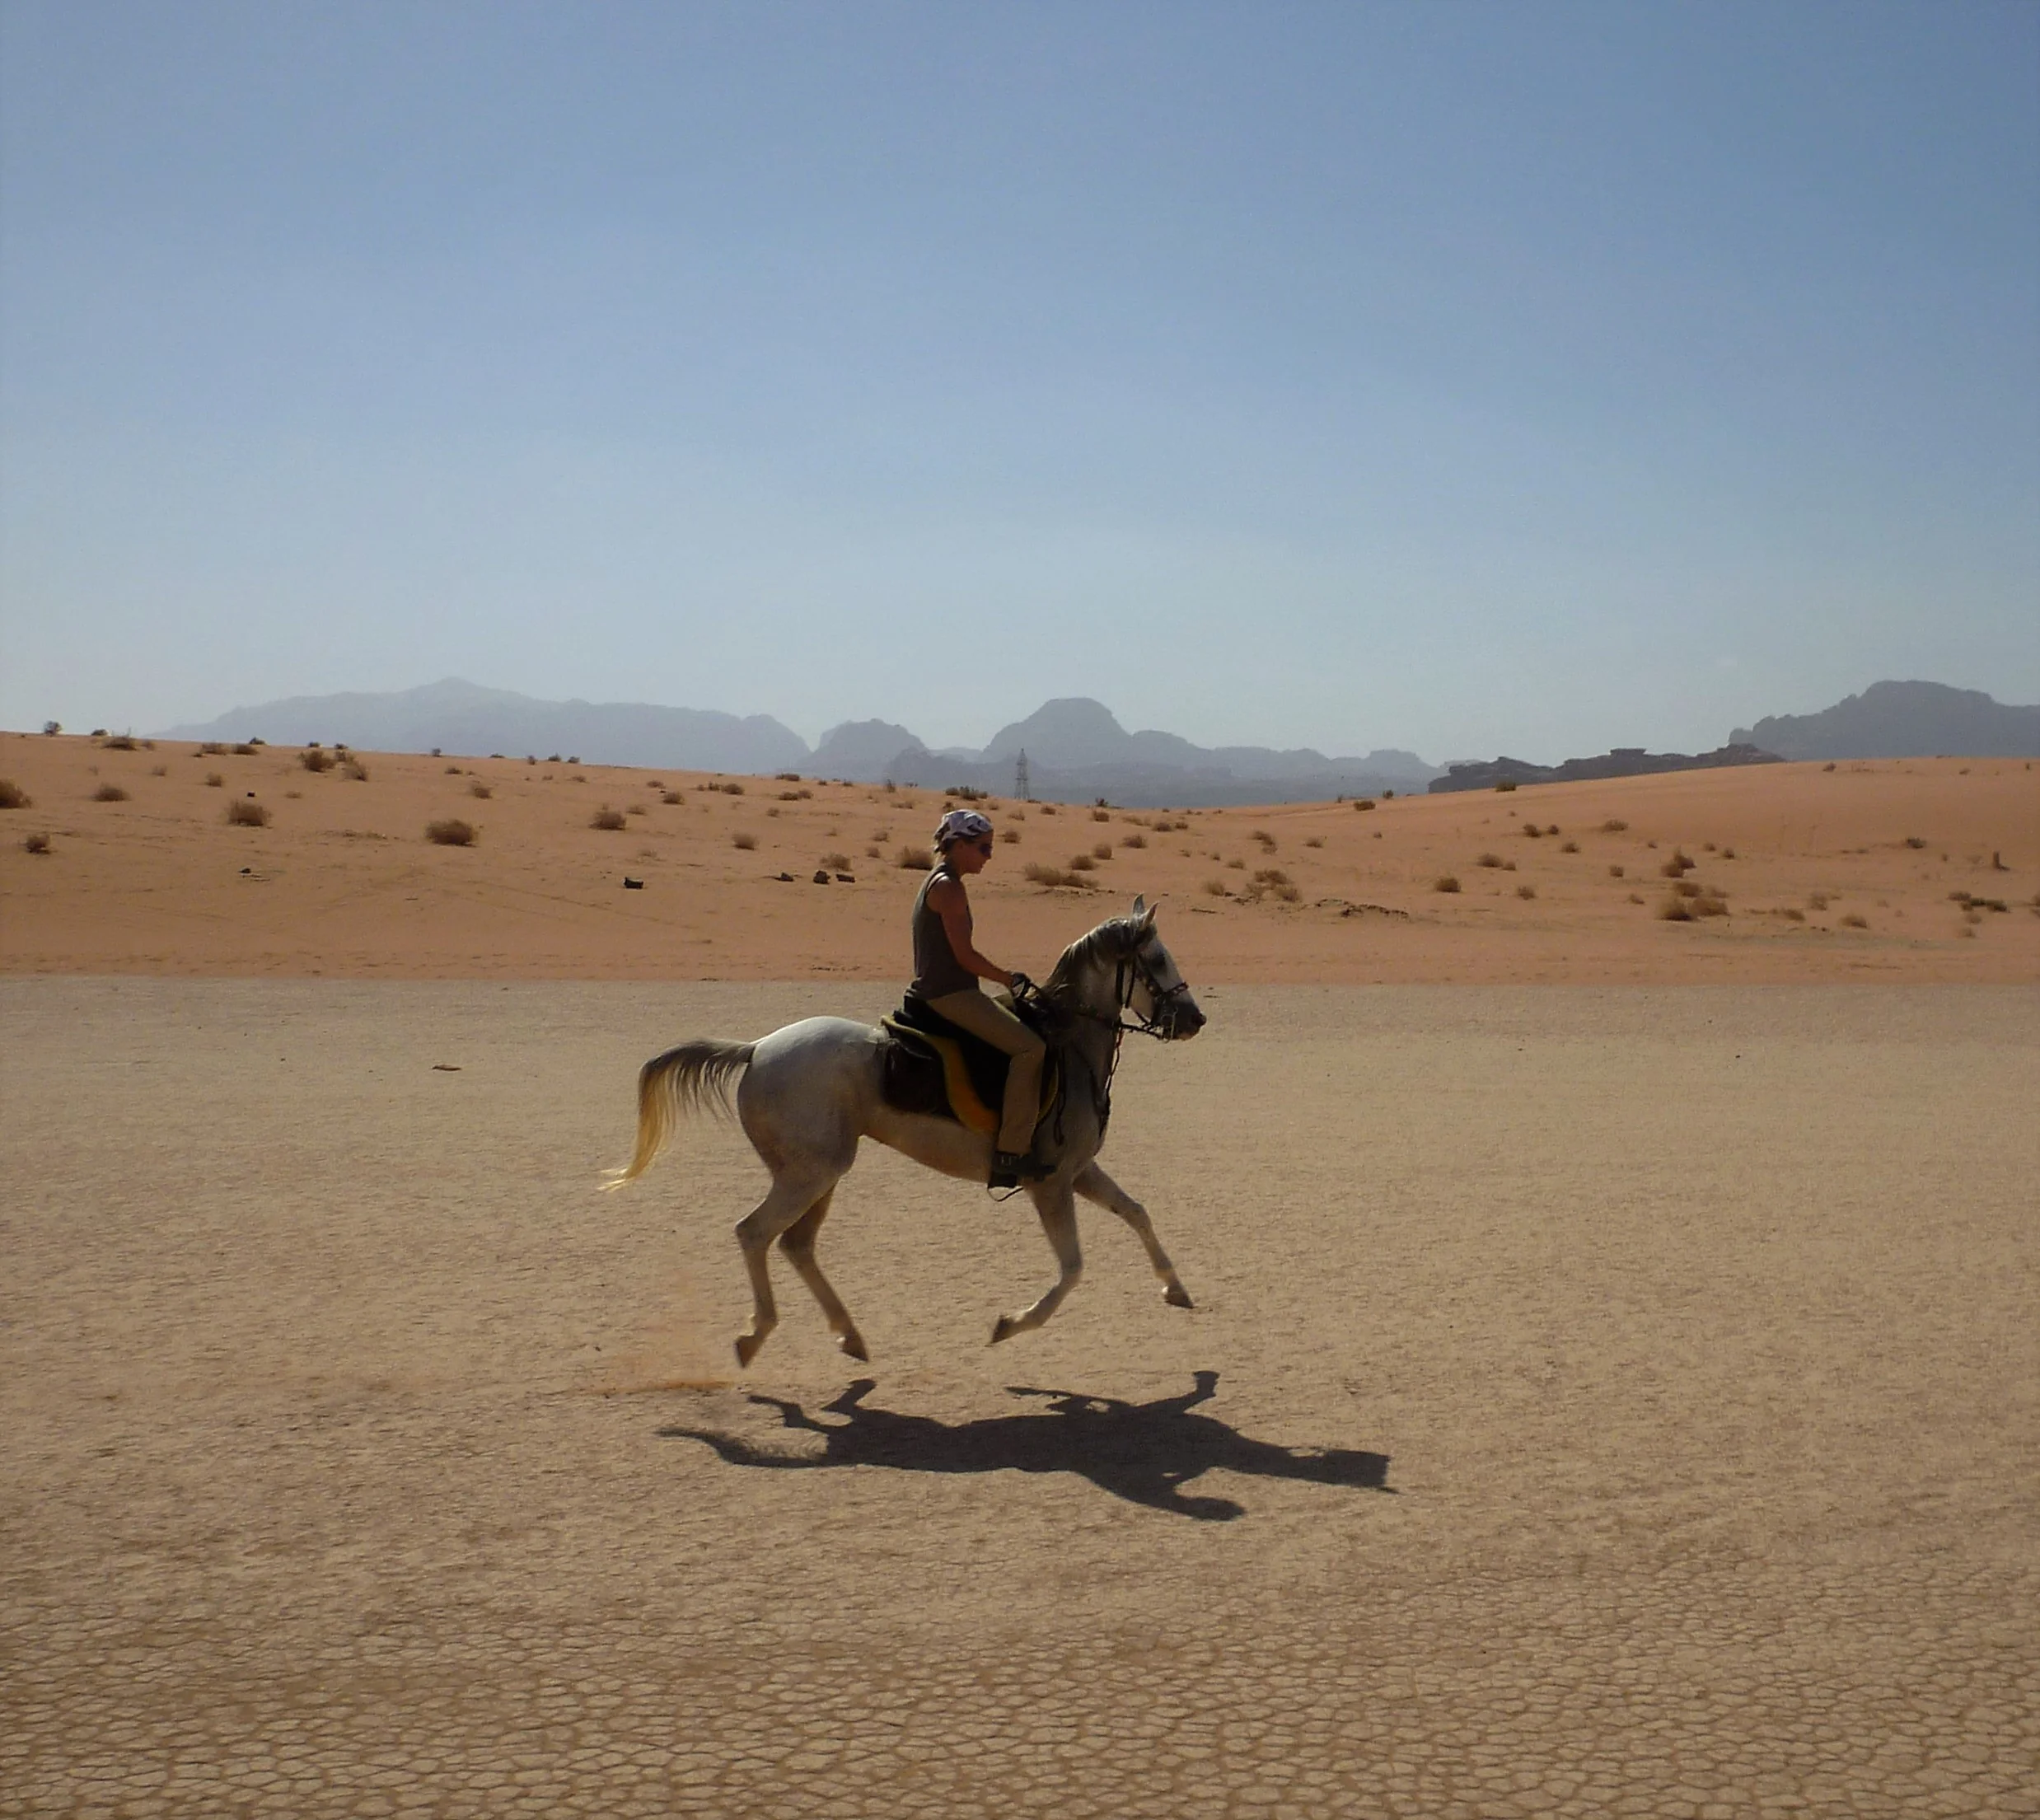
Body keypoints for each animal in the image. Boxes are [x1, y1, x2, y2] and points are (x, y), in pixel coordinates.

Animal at [603, 895, 1205, 1367]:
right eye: (1155, 958)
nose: (1194, 1020)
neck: (1069, 1044)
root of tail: (755, 1049)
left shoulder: (1080, 1171)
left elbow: (1136, 1212)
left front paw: (1175, 1287)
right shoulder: (1051, 1182)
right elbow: (1073, 1269)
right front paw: (1009, 1324)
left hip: (820, 1173)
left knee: (796, 1244)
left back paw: (849, 1335)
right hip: (811, 1173)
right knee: (754, 1232)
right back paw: (756, 1335)